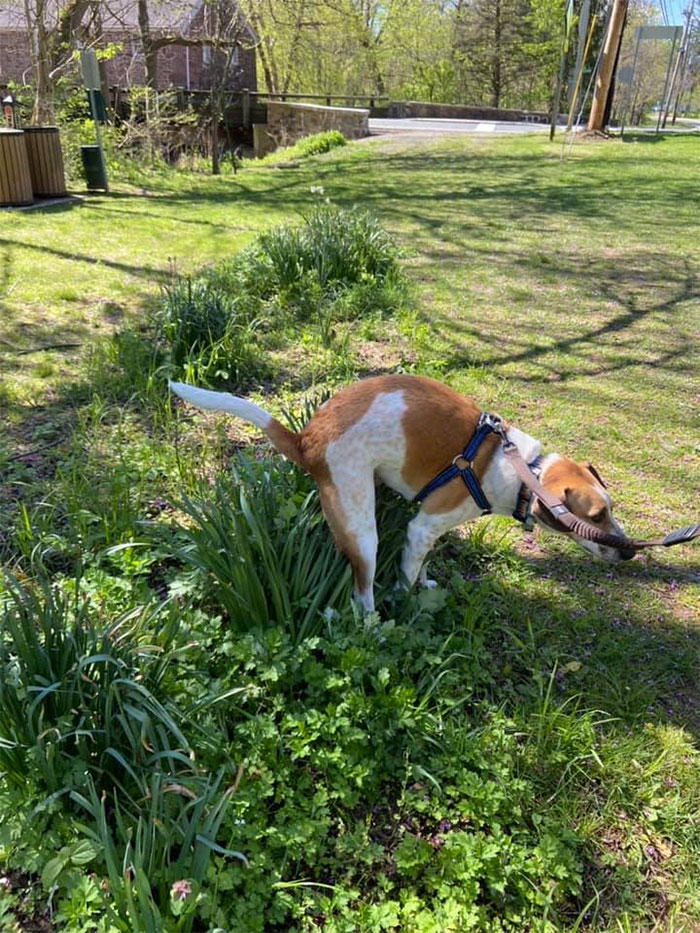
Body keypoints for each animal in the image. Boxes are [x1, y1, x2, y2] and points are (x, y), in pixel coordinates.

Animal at [170, 374, 628, 612]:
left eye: (610, 509)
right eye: (595, 517)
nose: (629, 553)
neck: (519, 467)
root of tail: (306, 440)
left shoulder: (429, 530)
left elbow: (422, 564)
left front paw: (425, 582)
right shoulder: (421, 527)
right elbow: (406, 578)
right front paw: (408, 603)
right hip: (363, 533)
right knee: (361, 597)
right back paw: (376, 630)